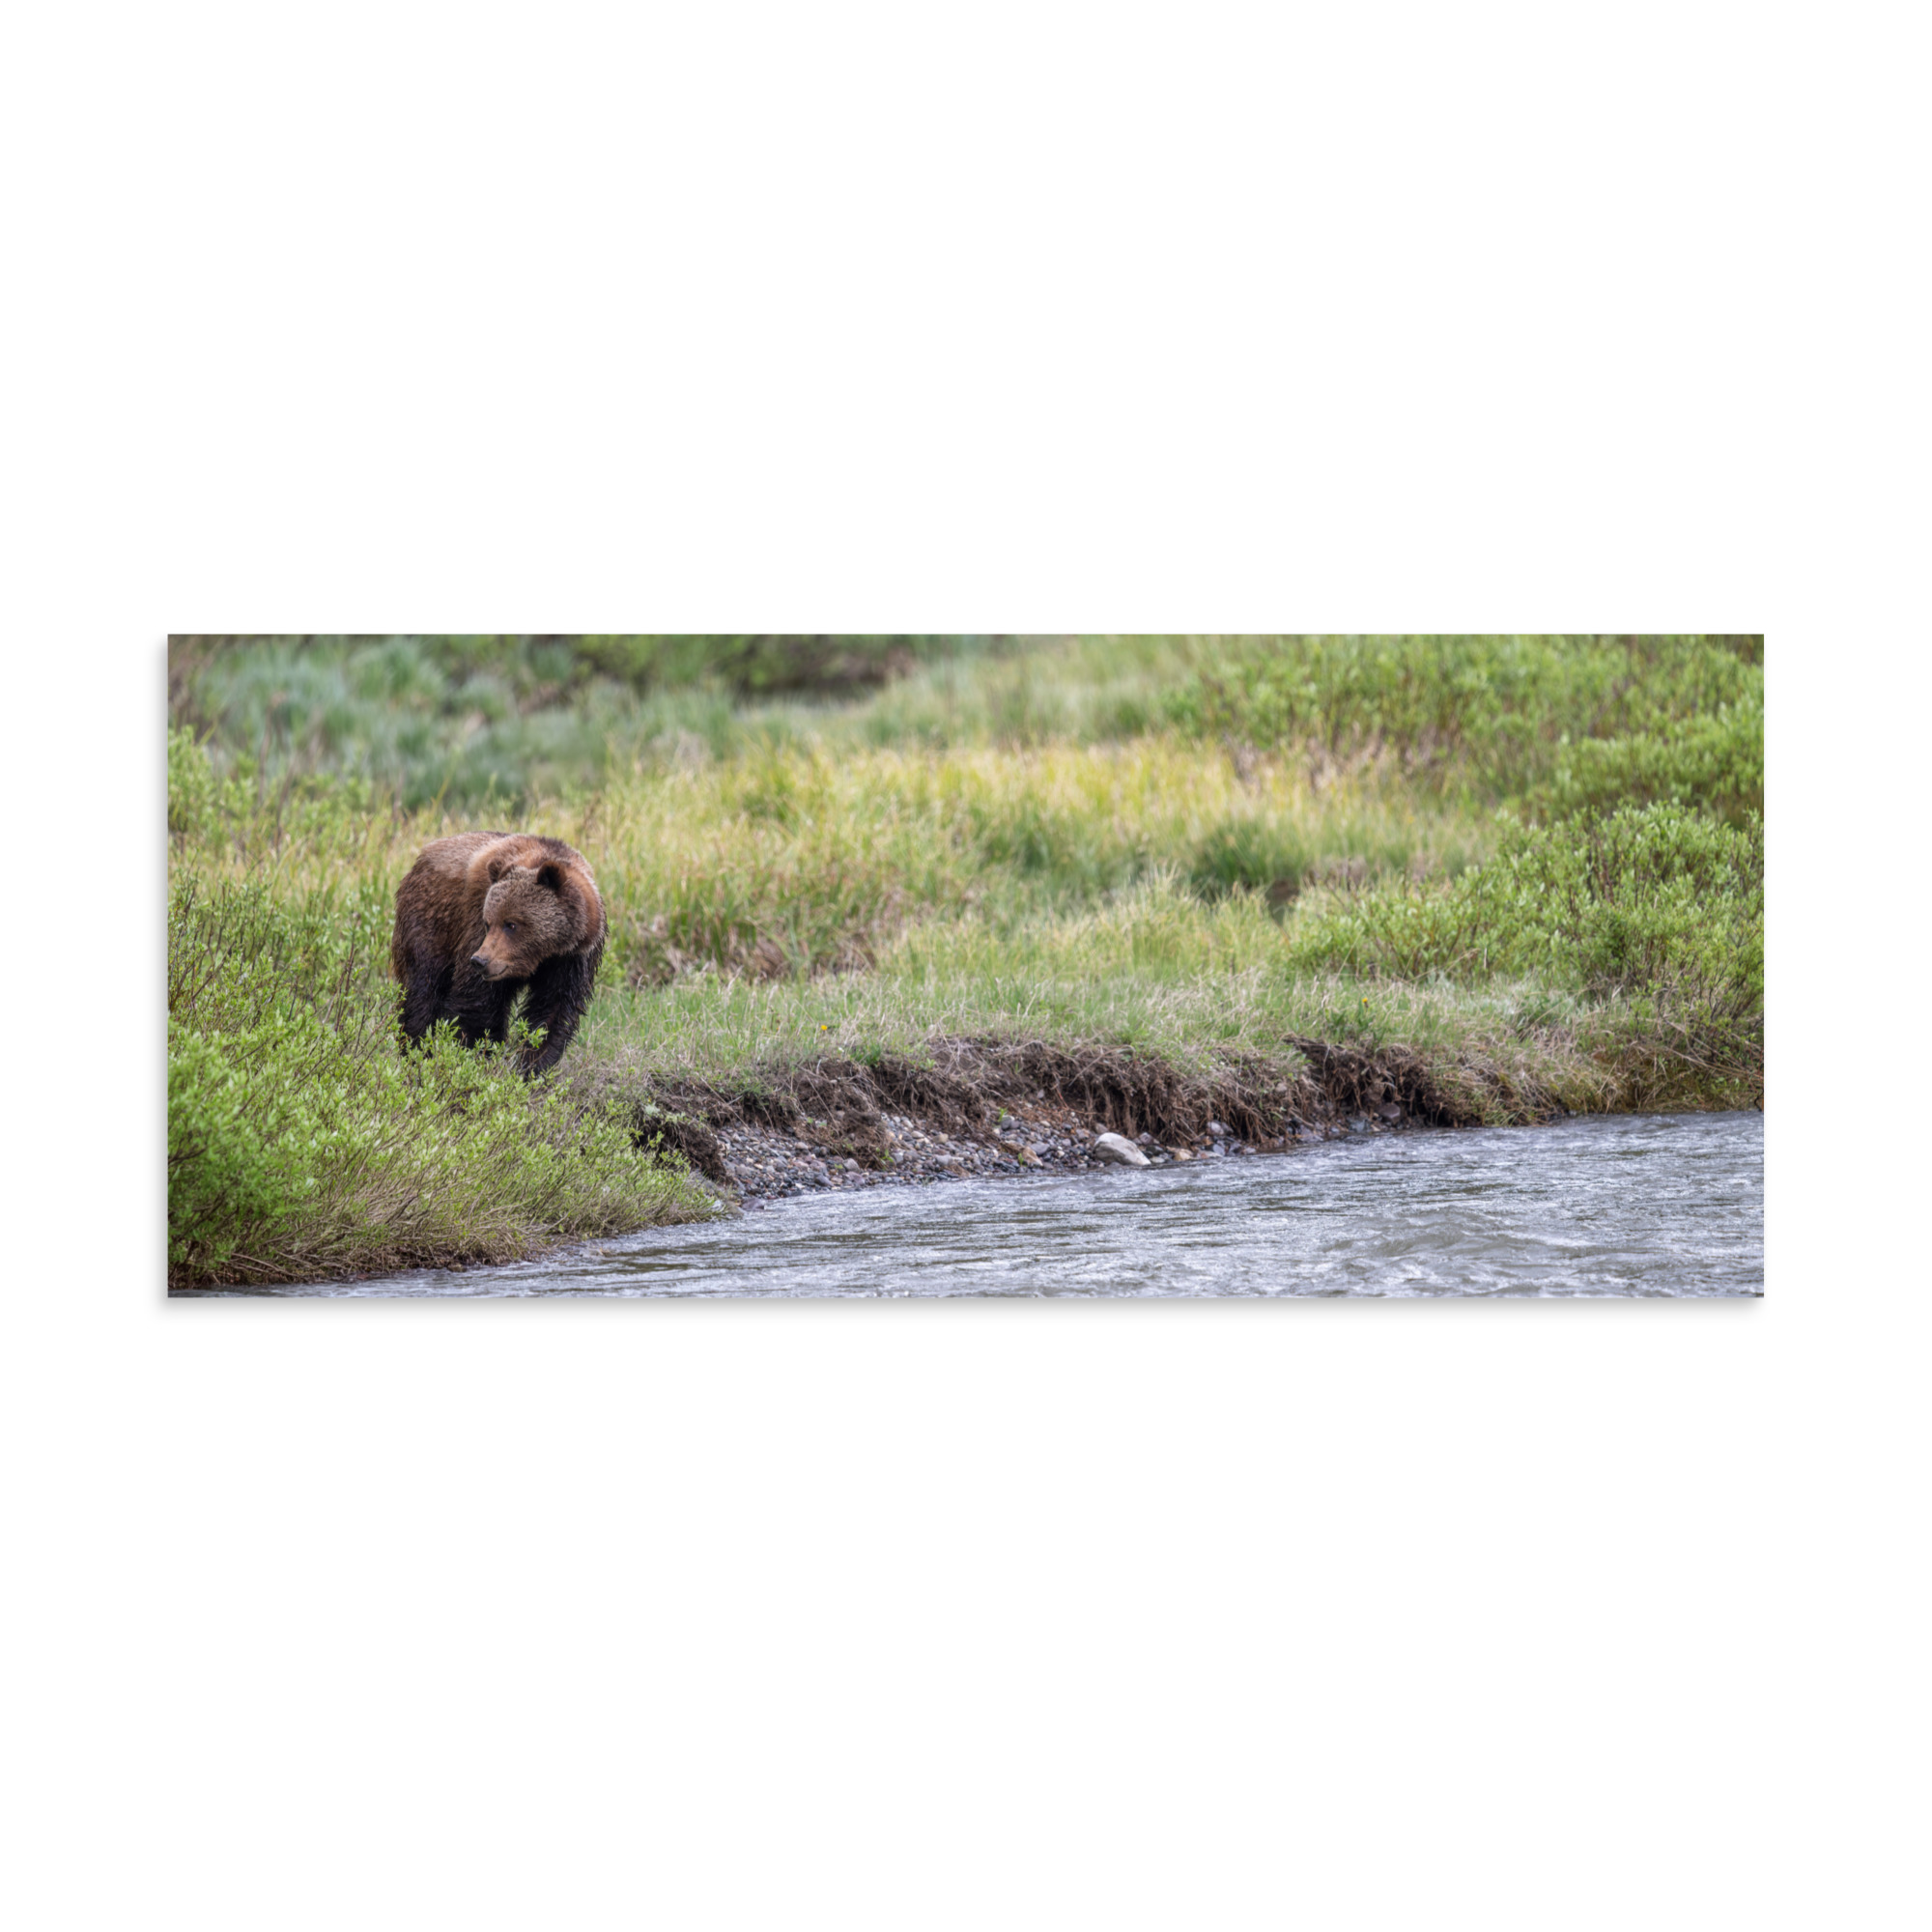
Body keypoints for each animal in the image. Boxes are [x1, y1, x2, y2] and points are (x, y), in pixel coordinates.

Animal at [391, 832, 607, 1074]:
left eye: (511, 924)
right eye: (488, 922)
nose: (480, 961)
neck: (543, 955)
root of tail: (421, 858)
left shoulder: (572, 960)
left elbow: (552, 1013)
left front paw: (532, 1067)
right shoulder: (475, 925)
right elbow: (477, 1004)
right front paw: (475, 1058)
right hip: (431, 924)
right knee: (422, 992)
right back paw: (416, 1053)